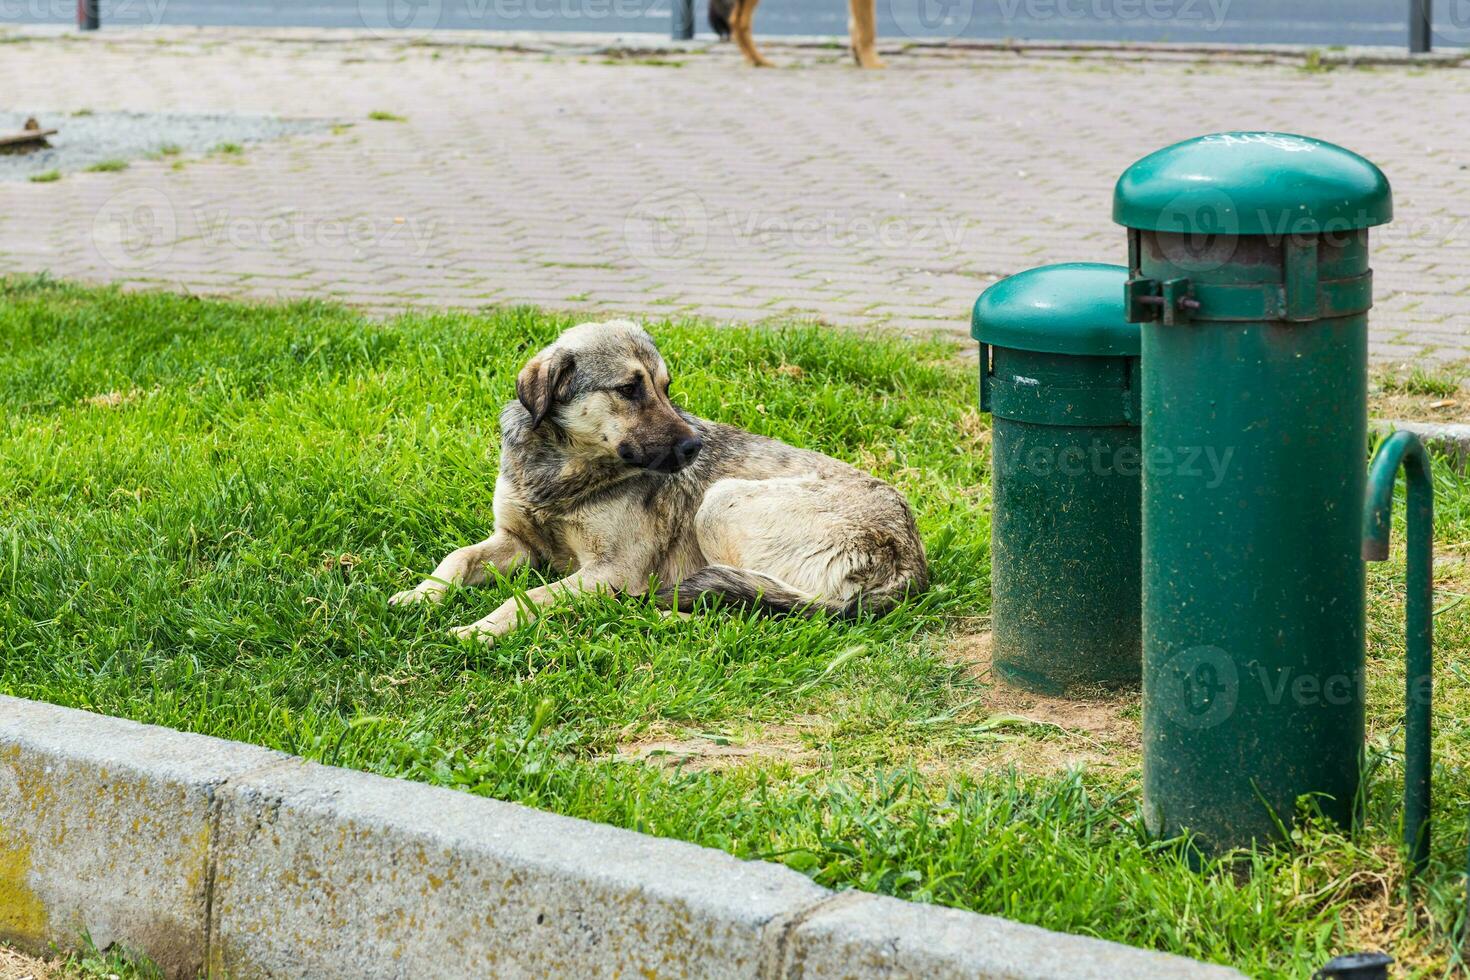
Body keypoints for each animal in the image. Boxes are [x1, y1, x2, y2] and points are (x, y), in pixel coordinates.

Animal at [385, 320, 923, 643]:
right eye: (630, 389)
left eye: (665, 389)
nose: (695, 447)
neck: (561, 468)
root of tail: (910, 565)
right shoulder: (517, 542)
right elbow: (456, 558)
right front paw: (420, 595)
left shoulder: (611, 571)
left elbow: (529, 597)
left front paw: (479, 629)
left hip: (721, 502)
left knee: (751, 613)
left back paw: (650, 615)